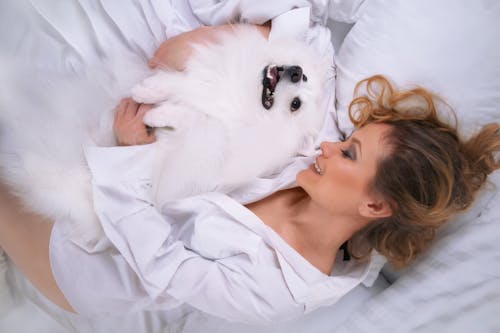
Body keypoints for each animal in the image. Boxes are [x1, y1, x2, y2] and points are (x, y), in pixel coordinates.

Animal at [0, 26, 328, 244]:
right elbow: (177, 85)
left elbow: (188, 115)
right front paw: (148, 92)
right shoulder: (204, 79)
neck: (244, 100)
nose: (296, 71)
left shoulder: (206, 136)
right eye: (304, 77)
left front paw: (154, 115)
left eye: (295, 105)